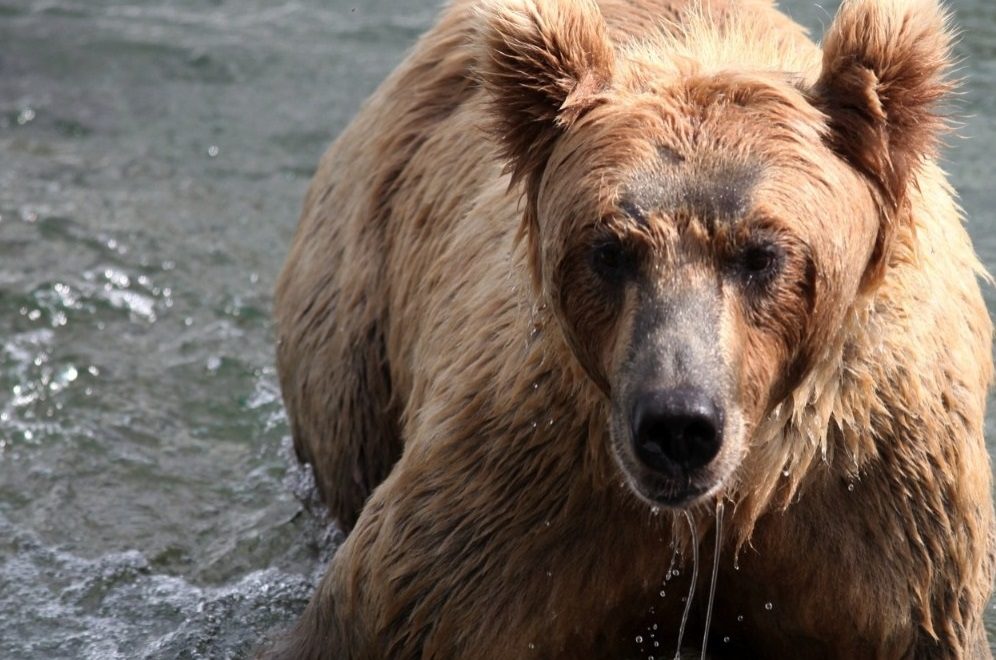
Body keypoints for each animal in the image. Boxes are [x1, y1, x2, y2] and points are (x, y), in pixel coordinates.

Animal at [269, 0, 996, 657]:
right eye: (609, 249)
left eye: (762, 253)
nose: (678, 425)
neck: (718, 512)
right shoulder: (519, 498)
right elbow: (385, 611)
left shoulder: (880, 517)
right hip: (355, 319)